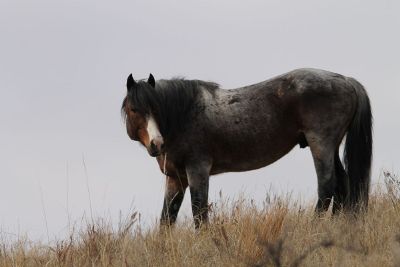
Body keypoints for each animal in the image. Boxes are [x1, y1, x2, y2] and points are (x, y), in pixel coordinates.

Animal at [121, 68, 372, 228]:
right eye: (134, 109)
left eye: (156, 108)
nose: (157, 144)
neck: (183, 116)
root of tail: (347, 80)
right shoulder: (175, 178)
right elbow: (166, 219)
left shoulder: (197, 170)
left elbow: (199, 212)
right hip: (331, 146)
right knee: (342, 185)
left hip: (321, 143)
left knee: (327, 186)